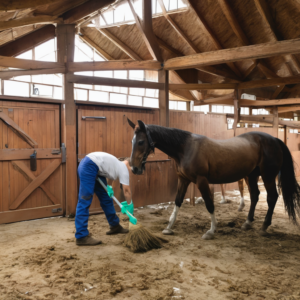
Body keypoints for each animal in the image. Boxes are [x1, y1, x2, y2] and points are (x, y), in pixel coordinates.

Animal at [127, 119, 300, 239]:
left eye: (141, 141)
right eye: (132, 141)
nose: (134, 168)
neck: (185, 148)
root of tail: (274, 139)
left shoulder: (201, 181)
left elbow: (209, 204)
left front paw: (211, 231)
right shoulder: (183, 179)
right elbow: (177, 201)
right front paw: (169, 227)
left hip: (268, 176)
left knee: (272, 197)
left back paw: (264, 226)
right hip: (251, 175)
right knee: (255, 196)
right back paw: (247, 222)